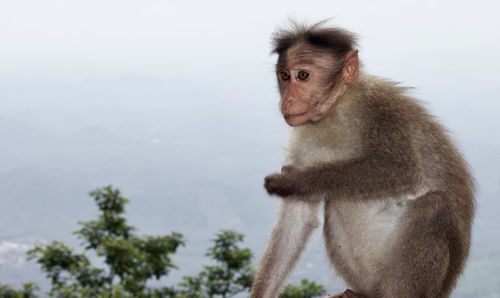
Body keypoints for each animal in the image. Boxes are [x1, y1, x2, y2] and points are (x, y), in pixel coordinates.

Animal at [252, 21, 474, 298]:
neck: (336, 108)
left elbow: (403, 171)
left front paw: (293, 181)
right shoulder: (305, 140)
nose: (288, 99)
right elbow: (298, 218)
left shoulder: (382, 109)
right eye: (284, 76)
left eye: (303, 76)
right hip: (366, 276)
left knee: (434, 207)